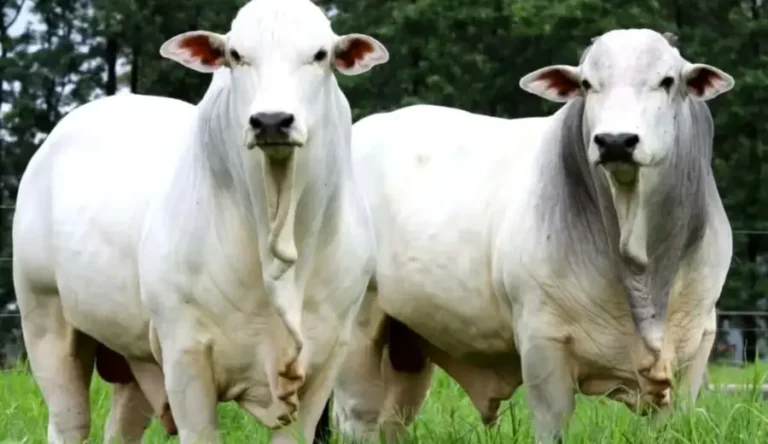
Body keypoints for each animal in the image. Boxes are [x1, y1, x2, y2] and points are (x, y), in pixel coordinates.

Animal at [12, 0, 388, 443]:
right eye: (236, 55)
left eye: (320, 55)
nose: (271, 121)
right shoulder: (185, 355)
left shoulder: (326, 360)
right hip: (45, 321)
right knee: (69, 420)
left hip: (134, 359)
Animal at [324, 28, 735, 443]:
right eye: (586, 84)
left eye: (667, 81)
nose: (616, 141)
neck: (641, 269)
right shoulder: (543, 344)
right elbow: (552, 421)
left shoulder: (695, 349)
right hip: (358, 327)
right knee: (358, 415)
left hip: (406, 346)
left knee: (394, 418)